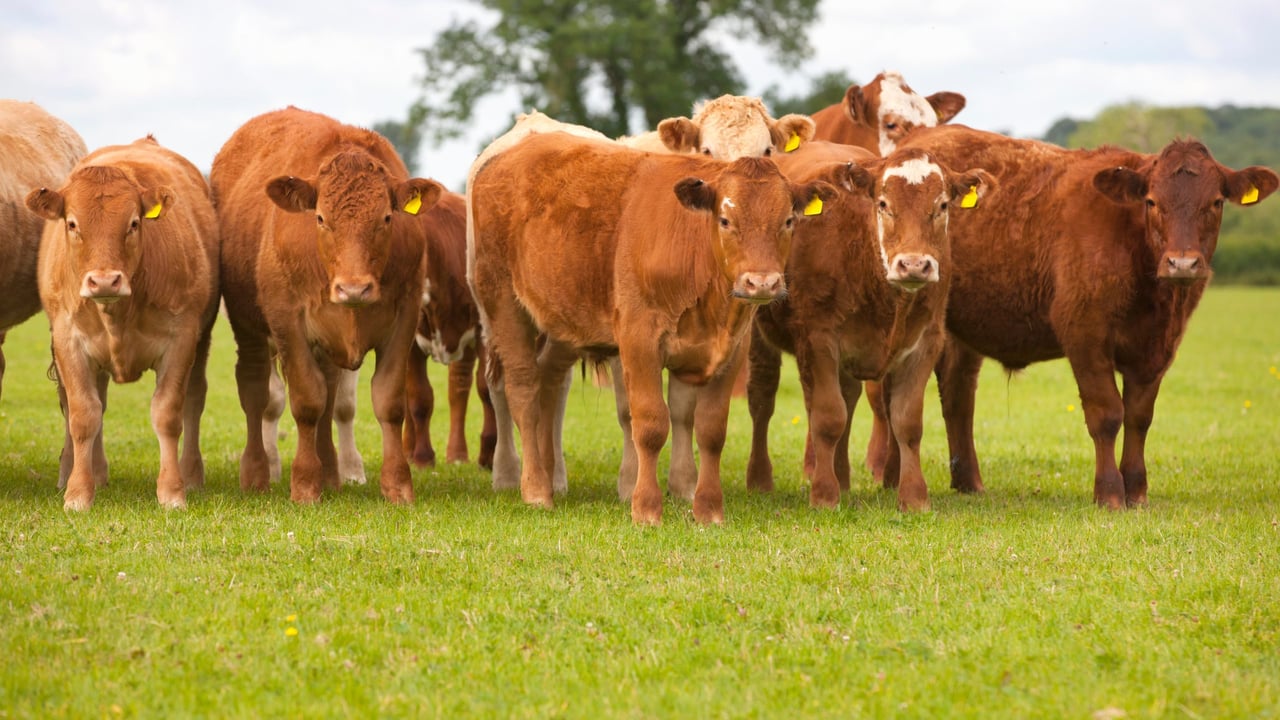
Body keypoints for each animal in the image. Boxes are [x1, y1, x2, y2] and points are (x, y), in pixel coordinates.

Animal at [27, 136, 219, 510]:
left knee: (194, 398)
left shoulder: (182, 339)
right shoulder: (68, 340)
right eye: (72, 224)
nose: (104, 281)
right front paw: (78, 493)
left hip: (202, 339)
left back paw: (191, 475)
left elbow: (168, 413)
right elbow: (83, 414)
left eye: (133, 223)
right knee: (94, 402)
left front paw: (172, 492)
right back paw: (93, 473)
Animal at [211, 106, 441, 504]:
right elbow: (306, 402)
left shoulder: (404, 319)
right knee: (256, 393)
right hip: (248, 328)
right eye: (320, 218)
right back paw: (257, 472)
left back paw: (331, 472)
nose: (354, 289)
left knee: (330, 394)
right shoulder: (288, 324)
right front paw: (304, 485)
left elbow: (387, 402)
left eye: (386, 217)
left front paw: (397, 485)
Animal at [468, 128, 838, 524]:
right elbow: (649, 424)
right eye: (725, 220)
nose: (762, 283)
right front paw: (645, 508)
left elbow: (711, 429)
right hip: (503, 303)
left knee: (549, 384)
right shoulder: (639, 340)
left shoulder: (732, 351)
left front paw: (708, 509)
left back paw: (551, 478)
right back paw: (536, 489)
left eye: (788, 220)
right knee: (522, 390)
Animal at [744, 140, 991, 510]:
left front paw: (914, 498)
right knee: (763, 397)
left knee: (848, 398)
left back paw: (843, 478)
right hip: (760, 334)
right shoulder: (818, 339)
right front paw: (824, 495)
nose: (913, 264)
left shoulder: (926, 341)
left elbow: (906, 421)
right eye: (884, 203)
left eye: (943, 205)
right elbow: (828, 417)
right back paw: (760, 479)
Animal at [893, 124, 1278, 507]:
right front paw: (1109, 492)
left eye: (1215, 202)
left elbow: (1139, 417)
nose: (1182, 263)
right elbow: (1107, 414)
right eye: (1152, 201)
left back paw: (968, 481)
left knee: (958, 396)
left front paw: (1136, 490)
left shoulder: (1157, 348)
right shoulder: (1085, 335)